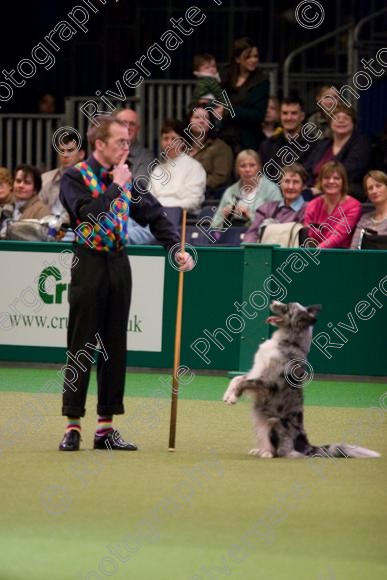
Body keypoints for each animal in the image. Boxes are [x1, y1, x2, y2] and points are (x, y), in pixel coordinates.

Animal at [224, 302, 382, 460]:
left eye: (286, 308)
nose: (273, 302)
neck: (288, 341)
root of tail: (305, 445)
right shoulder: (257, 372)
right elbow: (238, 379)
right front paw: (227, 395)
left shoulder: (268, 383)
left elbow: (244, 382)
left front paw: (233, 398)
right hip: (258, 422)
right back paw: (259, 450)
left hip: (273, 421)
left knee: (280, 452)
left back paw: (267, 453)